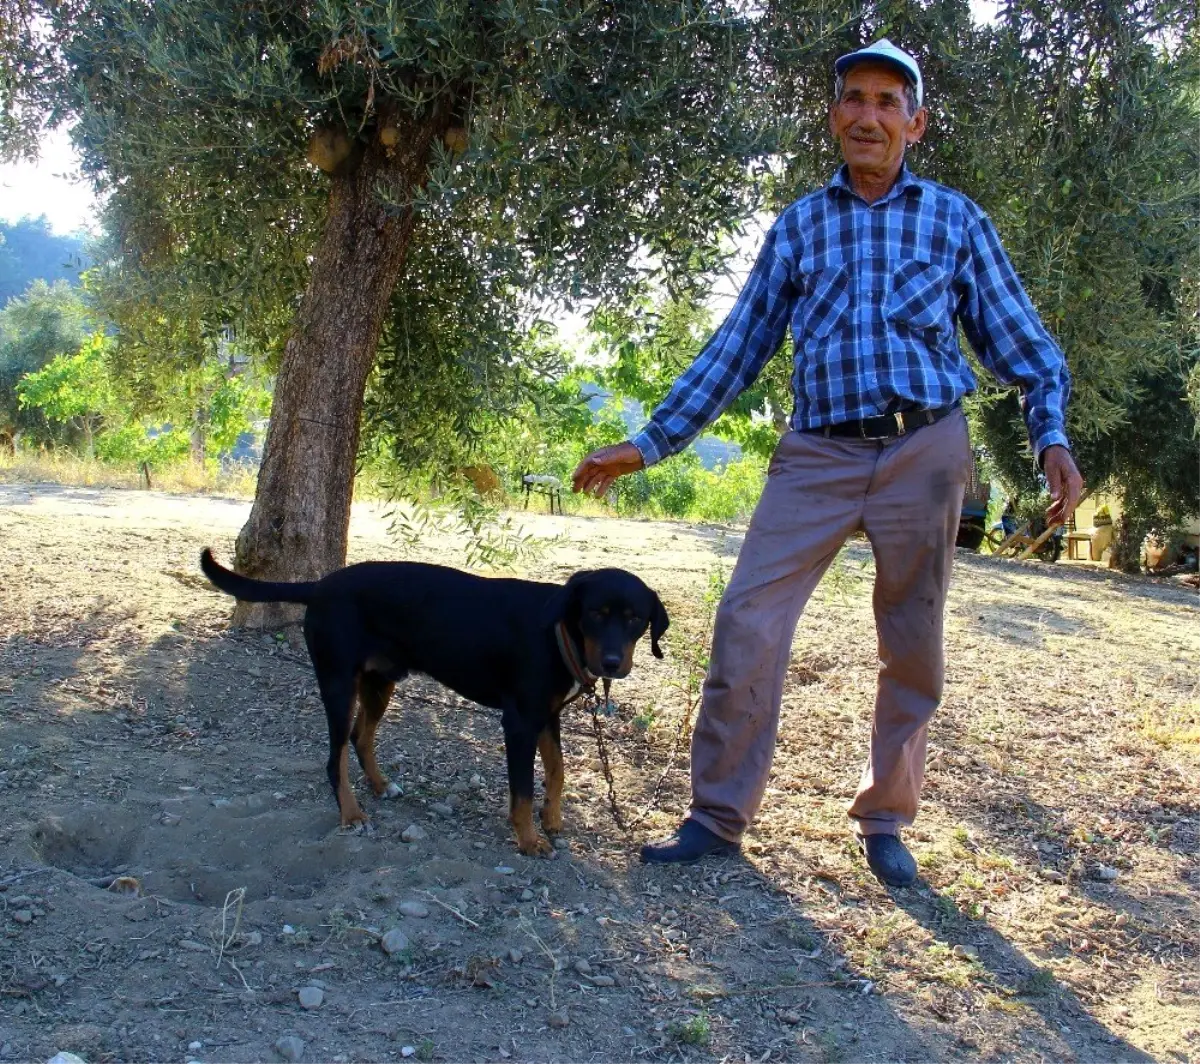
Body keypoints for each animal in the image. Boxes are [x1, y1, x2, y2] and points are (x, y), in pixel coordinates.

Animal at [196, 554, 667, 854]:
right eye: (595, 613)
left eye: (635, 619)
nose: (612, 663)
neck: (557, 633)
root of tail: (320, 586)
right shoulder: (519, 722)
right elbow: (522, 791)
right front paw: (529, 840)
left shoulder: (547, 717)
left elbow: (557, 772)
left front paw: (551, 821)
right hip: (338, 684)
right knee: (336, 759)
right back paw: (352, 813)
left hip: (379, 683)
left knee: (361, 737)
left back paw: (381, 785)